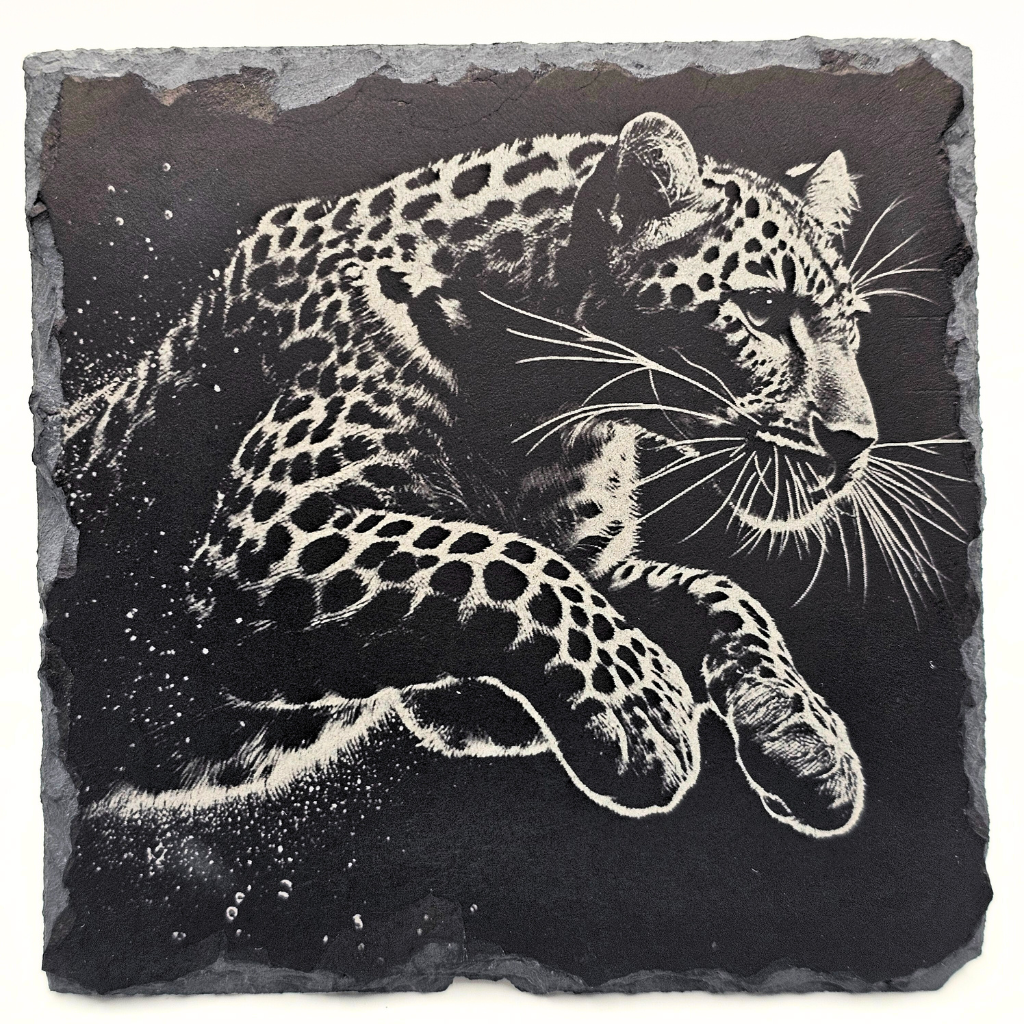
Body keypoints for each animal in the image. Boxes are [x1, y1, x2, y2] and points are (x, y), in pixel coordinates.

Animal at [61, 111, 878, 849]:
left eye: (853, 330)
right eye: (762, 310)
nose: (856, 443)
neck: (542, 407)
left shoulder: (561, 600)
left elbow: (718, 592)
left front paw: (805, 735)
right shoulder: (274, 524)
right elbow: (503, 558)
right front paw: (644, 707)